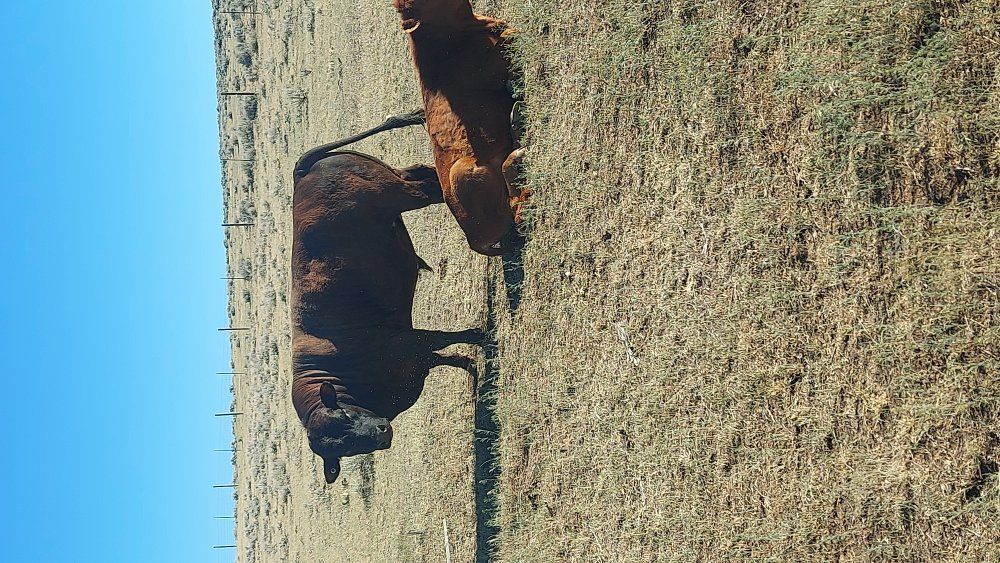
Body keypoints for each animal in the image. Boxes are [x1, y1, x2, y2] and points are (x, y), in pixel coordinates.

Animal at [291, 119, 482, 485]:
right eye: (348, 447)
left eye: (346, 417)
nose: (381, 432)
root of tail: (301, 173)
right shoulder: (416, 357)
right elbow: (451, 358)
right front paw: (475, 372)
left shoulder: (406, 340)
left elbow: (449, 338)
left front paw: (483, 334)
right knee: (427, 175)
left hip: (402, 193)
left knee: (430, 186)